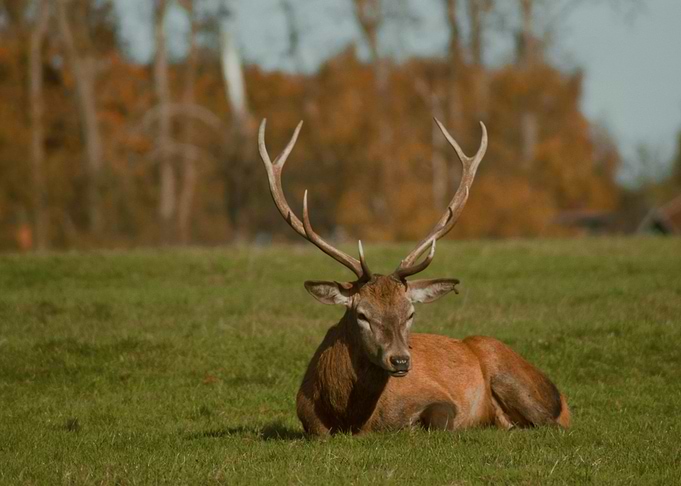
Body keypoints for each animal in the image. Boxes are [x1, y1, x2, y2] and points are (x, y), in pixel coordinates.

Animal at [258, 118, 570, 436]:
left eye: (410, 313)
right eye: (361, 314)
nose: (400, 360)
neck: (349, 418)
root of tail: (563, 398)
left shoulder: (438, 398)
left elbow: (437, 420)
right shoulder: (308, 419)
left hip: (511, 373)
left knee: (549, 422)